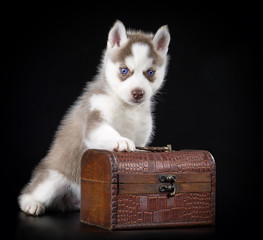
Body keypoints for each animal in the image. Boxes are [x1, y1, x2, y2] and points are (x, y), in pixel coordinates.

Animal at [18, 20, 171, 216]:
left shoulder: (141, 135)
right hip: (52, 179)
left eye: (150, 72)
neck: (127, 108)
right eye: (124, 70)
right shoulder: (94, 117)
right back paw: (31, 204)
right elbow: (105, 131)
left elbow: (140, 146)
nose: (138, 93)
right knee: (31, 192)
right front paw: (121, 140)